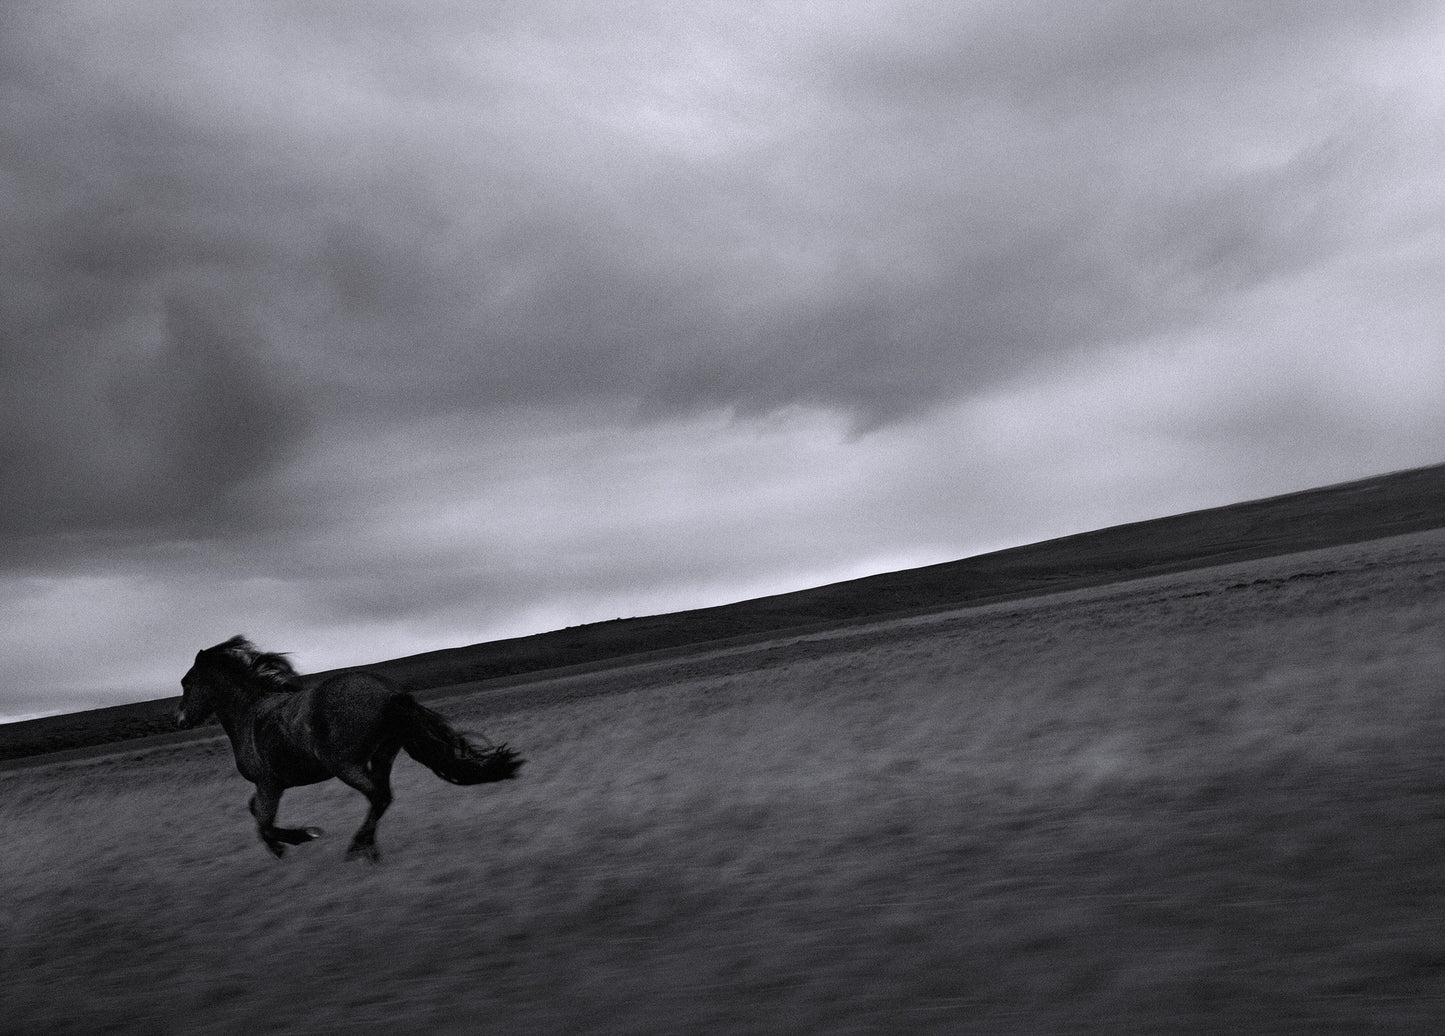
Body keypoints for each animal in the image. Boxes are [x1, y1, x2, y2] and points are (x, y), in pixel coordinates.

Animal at [177, 635, 522, 862]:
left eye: (187, 682)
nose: (179, 720)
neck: (250, 714)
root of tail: (388, 693)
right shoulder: (270, 786)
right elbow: (256, 815)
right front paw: (286, 845)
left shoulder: (269, 785)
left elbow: (263, 822)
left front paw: (302, 837)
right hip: (382, 755)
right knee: (382, 797)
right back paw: (368, 848)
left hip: (347, 766)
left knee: (379, 796)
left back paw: (357, 848)